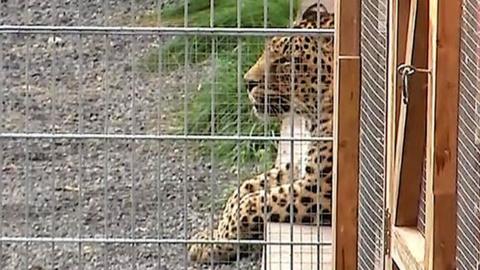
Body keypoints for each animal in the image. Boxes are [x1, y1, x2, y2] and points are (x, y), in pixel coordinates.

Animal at [188, 2, 334, 264]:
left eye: (286, 61)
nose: (247, 82)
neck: (310, 117)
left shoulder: (318, 189)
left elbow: (248, 204)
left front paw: (217, 245)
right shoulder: (294, 168)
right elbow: (240, 192)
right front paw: (211, 240)